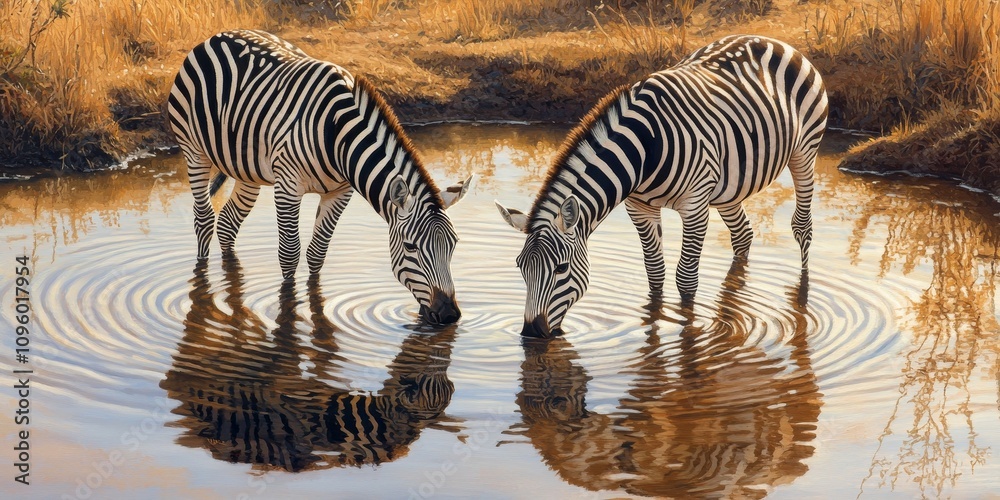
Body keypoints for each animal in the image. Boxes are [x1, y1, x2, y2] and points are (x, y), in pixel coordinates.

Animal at [167, 30, 470, 324]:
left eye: (453, 245)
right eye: (410, 247)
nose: (448, 315)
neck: (340, 137)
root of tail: (217, 36)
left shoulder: (340, 192)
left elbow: (317, 253)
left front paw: (315, 300)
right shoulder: (287, 187)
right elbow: (290, 253)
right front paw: (288, 307)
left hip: (247, 170)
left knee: (229, 223)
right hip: (194, 150)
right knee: (205, 219)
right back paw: (201, 277)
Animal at [496, 35, 828, 337]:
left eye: (561, 268)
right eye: (520, 266)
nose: (531, 332)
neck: (643, 150)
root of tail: (773, 40)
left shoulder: (695, 207)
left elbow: (686, 278)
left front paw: (688, 331)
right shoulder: (639, 207)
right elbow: (655, 272)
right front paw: (654, 322)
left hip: (804, 151)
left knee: (802, 227)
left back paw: (802, 297)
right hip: (729, 184)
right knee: (743, 235)